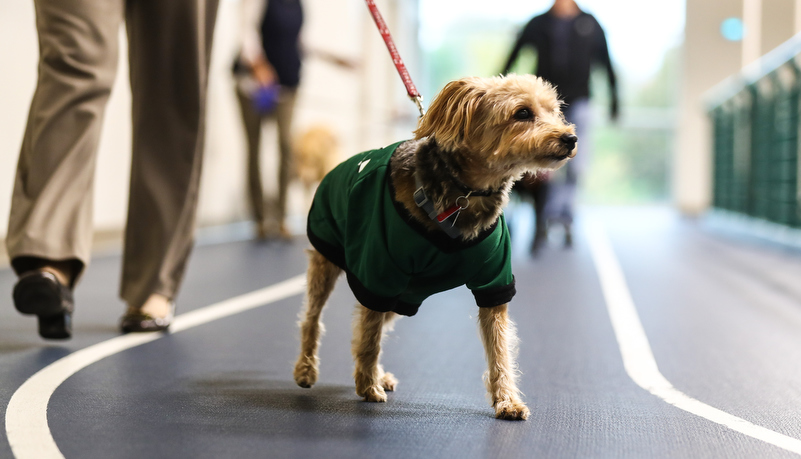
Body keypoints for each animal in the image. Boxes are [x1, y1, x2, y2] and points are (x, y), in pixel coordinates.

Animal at [294, 74, 576, 420]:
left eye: (554, 111)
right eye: (522, 113)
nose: (570, 138)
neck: (467, 193)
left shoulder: (494, 284)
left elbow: (500, 350)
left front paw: (507, 399)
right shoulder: (378, 274)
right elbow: (369, 338)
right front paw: (367, 386)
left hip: (404, 298)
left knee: (365, 328)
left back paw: (374, 373)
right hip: (330, 265)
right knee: (314, 319)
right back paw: (307, 369)